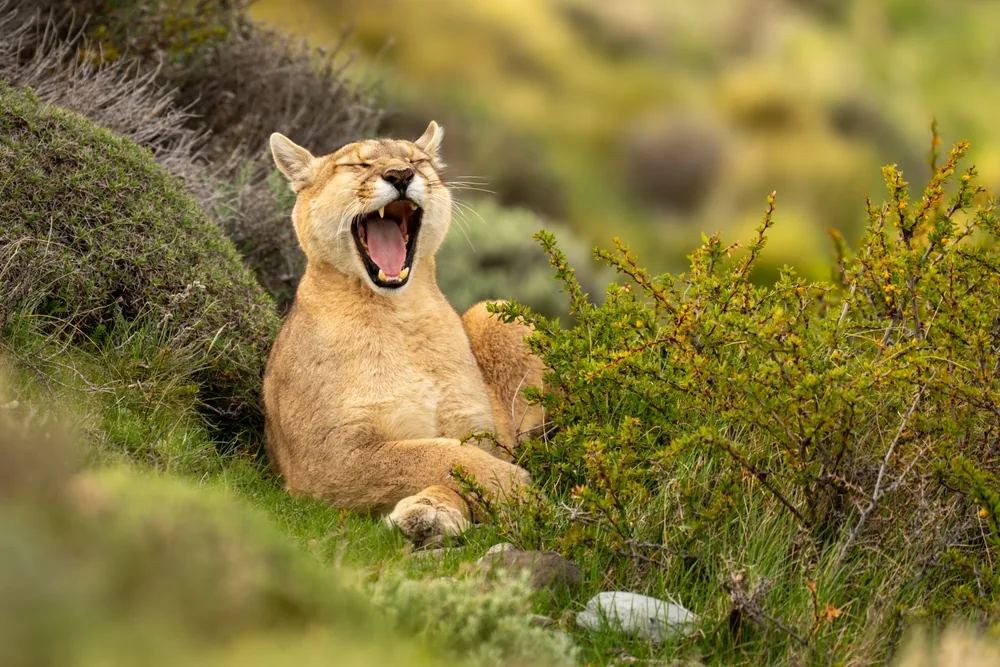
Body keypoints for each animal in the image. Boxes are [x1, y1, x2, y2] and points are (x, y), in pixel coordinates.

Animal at [263, 121, 545, 544]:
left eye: (417, 160)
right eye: (358, 163)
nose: (400, 175)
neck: (403, 314)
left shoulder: (481, 431)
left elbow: (450, 457)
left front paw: (435, 509)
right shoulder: (328, 456)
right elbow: (434, 455)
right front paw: (516, 488)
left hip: (492, 312)